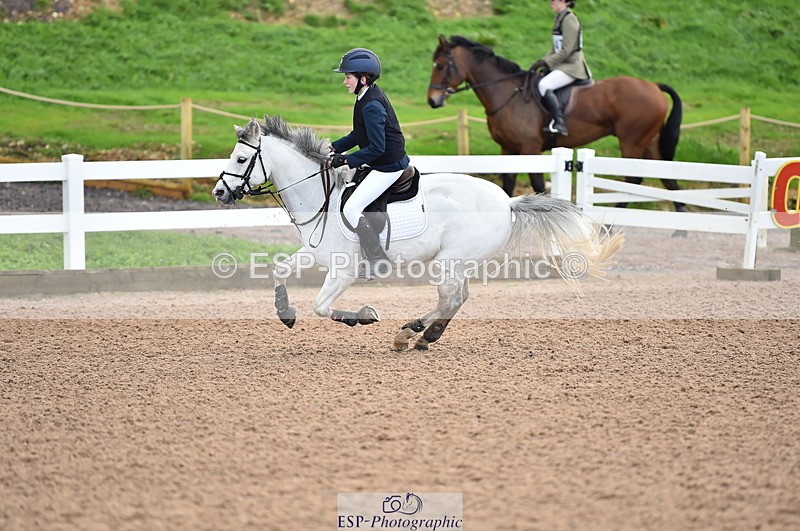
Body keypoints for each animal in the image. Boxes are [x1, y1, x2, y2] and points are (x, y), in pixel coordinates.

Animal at [213, 116, 624, 351]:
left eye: (240, 159)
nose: (218, 193)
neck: (321, 196)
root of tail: (507, 202)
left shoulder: (343, 270)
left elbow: (322, 307)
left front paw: (362, 316)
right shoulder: (316, 254)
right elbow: (280, 270)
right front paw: (285, 312)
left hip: (448, 262)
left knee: (449, 298)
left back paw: (410, 333)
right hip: (458, 264)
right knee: (458, 298)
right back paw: (426, 336)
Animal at [427, 35, 688, 214]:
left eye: (440, 65)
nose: (432, 100)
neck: (508, 94)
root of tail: (653, 85)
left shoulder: (530, 149)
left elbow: (536, 183)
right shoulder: (508, 149)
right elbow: (508, 183)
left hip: (631, 142)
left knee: (633, 180)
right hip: (649, 142)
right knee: (667, 177)